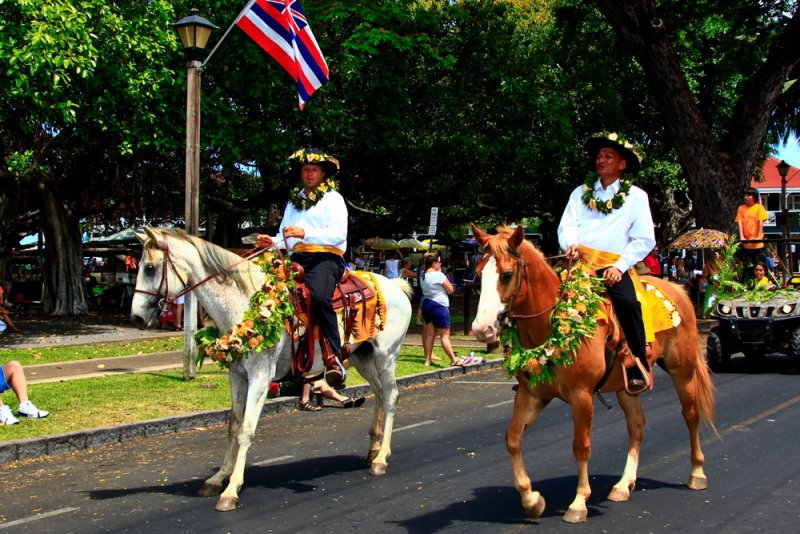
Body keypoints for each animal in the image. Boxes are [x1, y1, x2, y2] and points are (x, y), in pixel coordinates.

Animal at [130, 228, 412, 512]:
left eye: (150, 268)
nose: (136, 318)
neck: (244, 302)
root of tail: (395, 286)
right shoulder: (237, 375)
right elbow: (233, 426)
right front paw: (218, 478)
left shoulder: (260, 377)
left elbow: (246, 430)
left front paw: (231, 490)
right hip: (362, 357)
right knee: (379, 393)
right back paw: (373, 448)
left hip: (386, 356)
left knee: (390, 396)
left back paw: (381, 458)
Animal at [466, 225, 716, 524]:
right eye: (478, 273)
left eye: (506, 274)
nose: (482, 329)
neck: (550, 324)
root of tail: (677, 288)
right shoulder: (532, 395)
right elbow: (513, 438)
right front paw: (531, 500)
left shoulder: (582, 396)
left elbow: (580, 446)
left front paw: (578, 503)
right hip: (626, 387)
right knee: (637, 424)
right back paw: (623, 484)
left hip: (683, 371)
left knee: (690, 415)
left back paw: (697, 473)